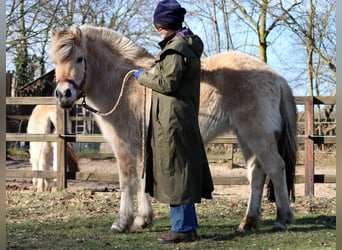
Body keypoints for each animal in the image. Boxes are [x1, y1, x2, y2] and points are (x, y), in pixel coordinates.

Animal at [50, 25, 296, 232]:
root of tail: (278, 78)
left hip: (258, 135)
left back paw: (282, 219)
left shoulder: (124, 145)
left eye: (79, 59)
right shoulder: (141, 145)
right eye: (55, 62)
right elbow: (142, 181)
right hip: (245, 136)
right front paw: (142, 219)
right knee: (256, 173)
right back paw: (248, 222)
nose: (63, 94)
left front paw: (121, 223)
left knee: (276, 168)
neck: (124, 84)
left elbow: (127, 181)